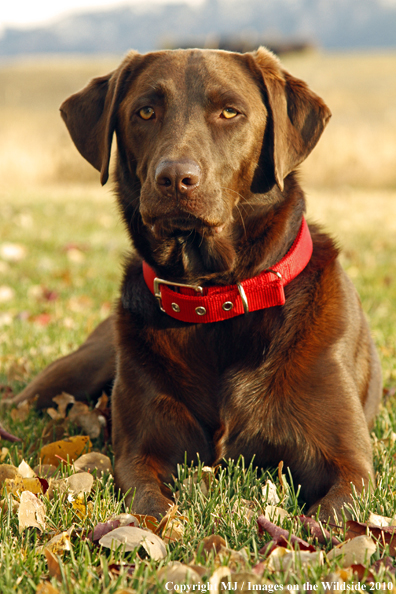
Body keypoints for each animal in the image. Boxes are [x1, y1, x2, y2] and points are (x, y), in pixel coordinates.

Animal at [12, 47, 380, 520]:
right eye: (145, 111)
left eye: (230, 112)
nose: (174, 178)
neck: (216, 299)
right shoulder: (139, 455)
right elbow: (150, 509)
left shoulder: (349, 465)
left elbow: (325, 519)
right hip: (75, 370)